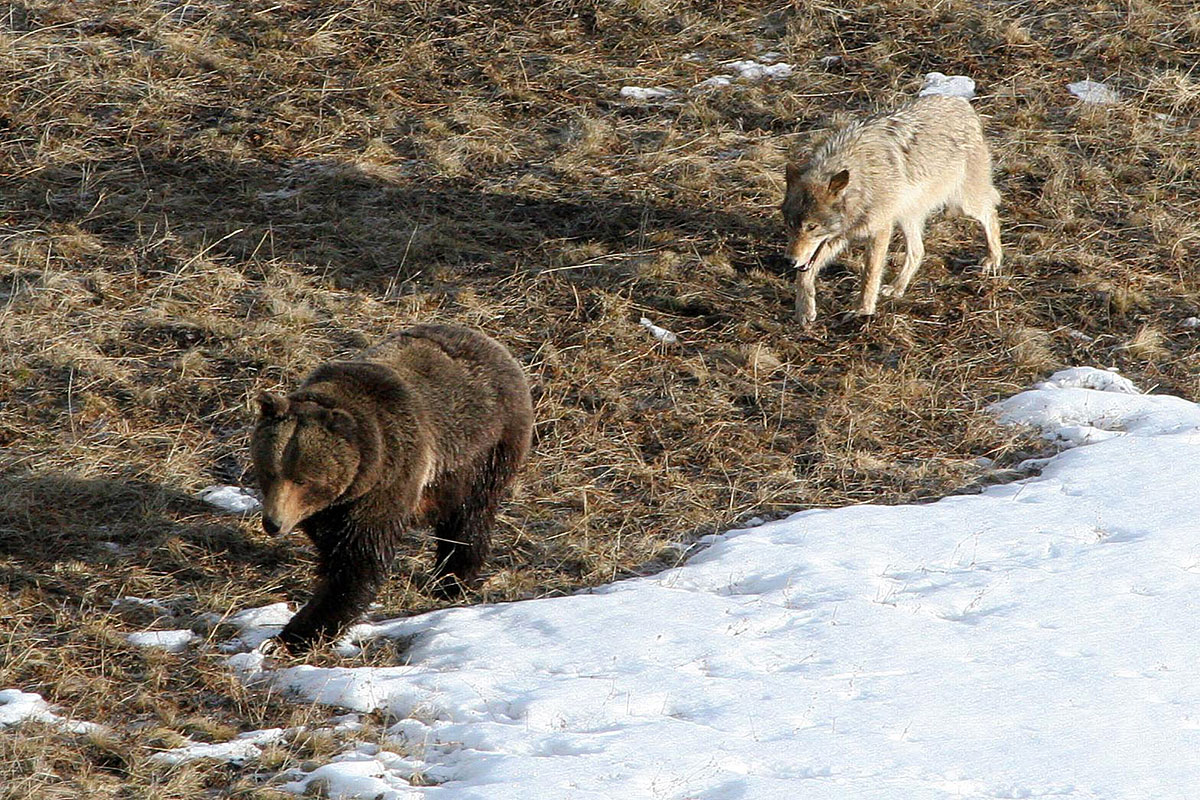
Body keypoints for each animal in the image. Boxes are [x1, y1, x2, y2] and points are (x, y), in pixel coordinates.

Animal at [250, 323, 533, 653]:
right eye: (269, 471)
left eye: (303, 479)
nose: (273, 523)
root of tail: (493, 344)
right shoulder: (332, 508)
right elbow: (333, 545)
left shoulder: (390, 478)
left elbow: (358, 561)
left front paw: (297, 633)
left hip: (484, 451)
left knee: (469, 518)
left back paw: (451, 580)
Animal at [781, 94, 1003, 326]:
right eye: (790, 225)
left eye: (812, 227)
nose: (789, 260)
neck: (862, 183)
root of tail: (961, 102)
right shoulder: (837, 238)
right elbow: (804, 274)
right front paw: (804, 310)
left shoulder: (880, 230)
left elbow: (869, 274)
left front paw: (862, 310)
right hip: (907, 217)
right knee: (918, 251)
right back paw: (897, 288)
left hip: (964, 202)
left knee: (991, 214)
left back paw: (993, 259)